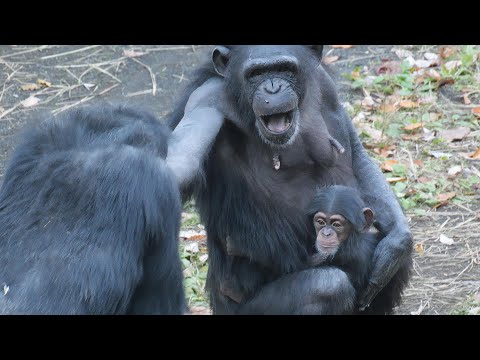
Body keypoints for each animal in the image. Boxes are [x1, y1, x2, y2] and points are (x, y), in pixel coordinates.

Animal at [169, 45, 412, 316]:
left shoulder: (325, 85)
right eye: (256, 73)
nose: (273, 88)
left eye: (285, 69)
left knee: (392, 261)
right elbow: (182, 160)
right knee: (326, 286)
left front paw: (398, 239)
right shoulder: (205, 100)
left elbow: (355, 151)